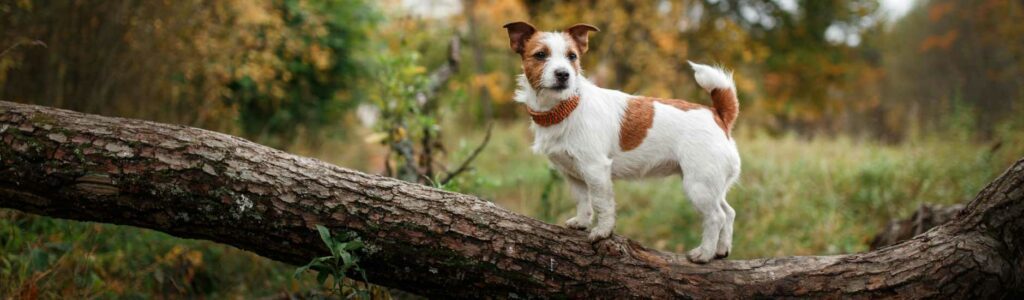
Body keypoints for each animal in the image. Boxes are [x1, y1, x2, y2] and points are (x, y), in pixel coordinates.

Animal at [501, 21, 737, 262]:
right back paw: (721, 250)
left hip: (699, 185)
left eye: (572, 56)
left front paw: (603, 232)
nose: (563, 74)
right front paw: (582, 222)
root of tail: (719, 115)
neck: (566, 107)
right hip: (712, 185)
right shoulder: (573, 174)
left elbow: (601, 203)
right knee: (729, 212)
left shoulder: (596, 169)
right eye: (540, 55)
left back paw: (705, 253)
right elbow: (583, 201)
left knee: (716, 217)